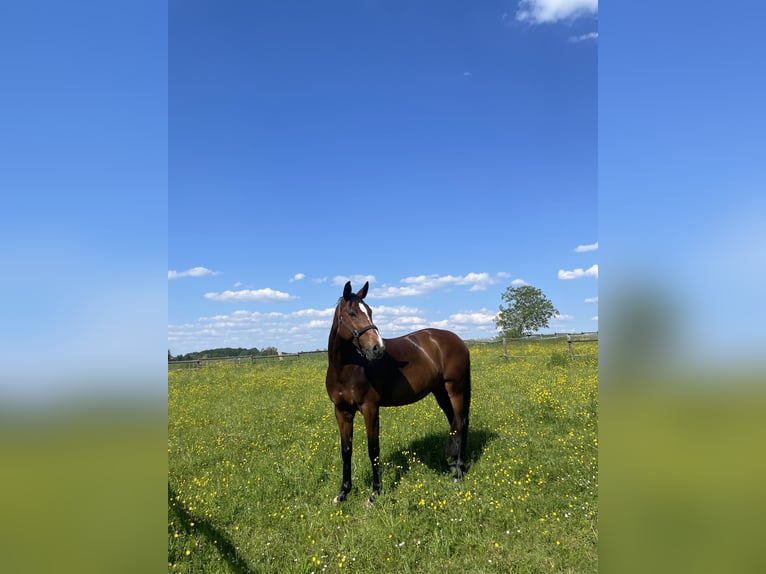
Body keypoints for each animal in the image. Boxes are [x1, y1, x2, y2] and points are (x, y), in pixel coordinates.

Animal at [326, 282, 472, 506]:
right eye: (352, 314)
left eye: (370, 311)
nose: (377, 348)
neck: (347, 368)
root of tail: (457, 340)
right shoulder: (341, 411)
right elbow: (346, 450)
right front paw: (343, 493)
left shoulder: (370, 409)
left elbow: (373, 450)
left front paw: (374, 494)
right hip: (440, 391)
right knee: (454, 423)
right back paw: (454, 464)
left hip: (455, 389)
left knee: (461, 423)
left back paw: (459, 473)